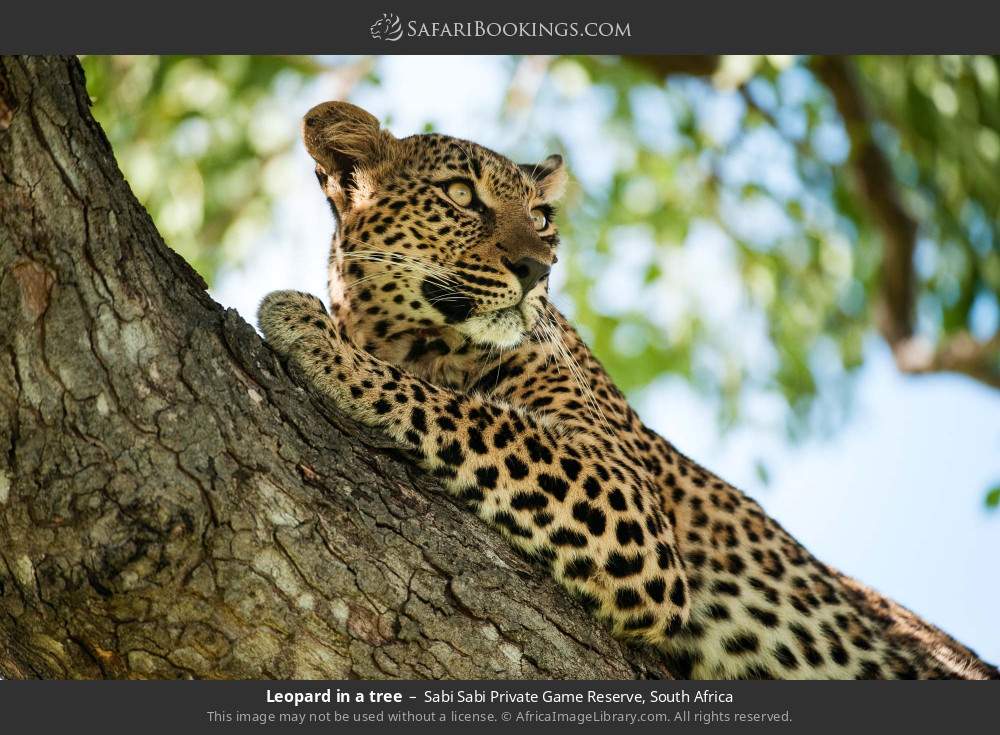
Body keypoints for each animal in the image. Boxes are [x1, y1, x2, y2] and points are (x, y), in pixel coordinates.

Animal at [257, 100, 999, 680]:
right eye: (461, 196)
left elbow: (473, 415)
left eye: (543, 216)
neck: (416, 341)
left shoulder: (629, 502)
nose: (537, 268)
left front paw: (318, 339)